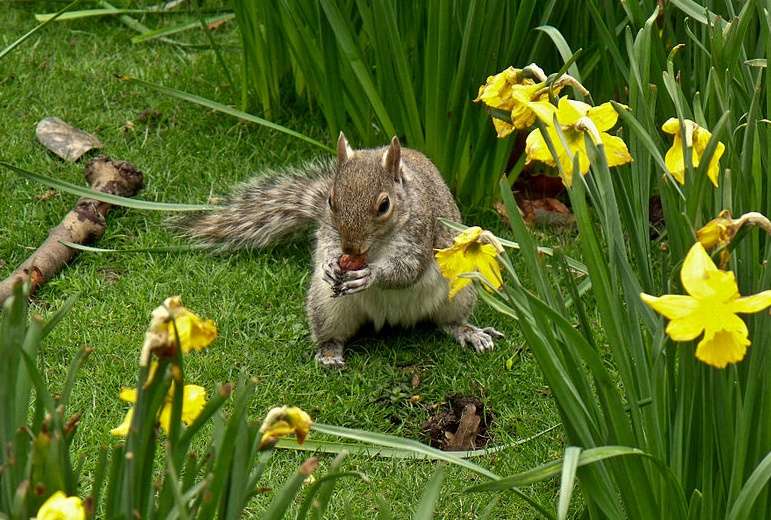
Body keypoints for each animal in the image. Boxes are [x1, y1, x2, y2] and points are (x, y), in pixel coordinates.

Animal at [184, 134, 504, 366]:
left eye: (384, 205)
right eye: (330, 200)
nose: (349, 247)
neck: (375, 246)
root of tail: (394, 319)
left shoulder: (421, 232)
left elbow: (408, 269)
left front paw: (370, 275)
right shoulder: (329, 230)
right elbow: (324, 247)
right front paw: (328, 264)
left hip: (459, 291)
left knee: (450, 321)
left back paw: (470, 332)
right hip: (326, 305)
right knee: (332, 333)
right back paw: (329, 352)